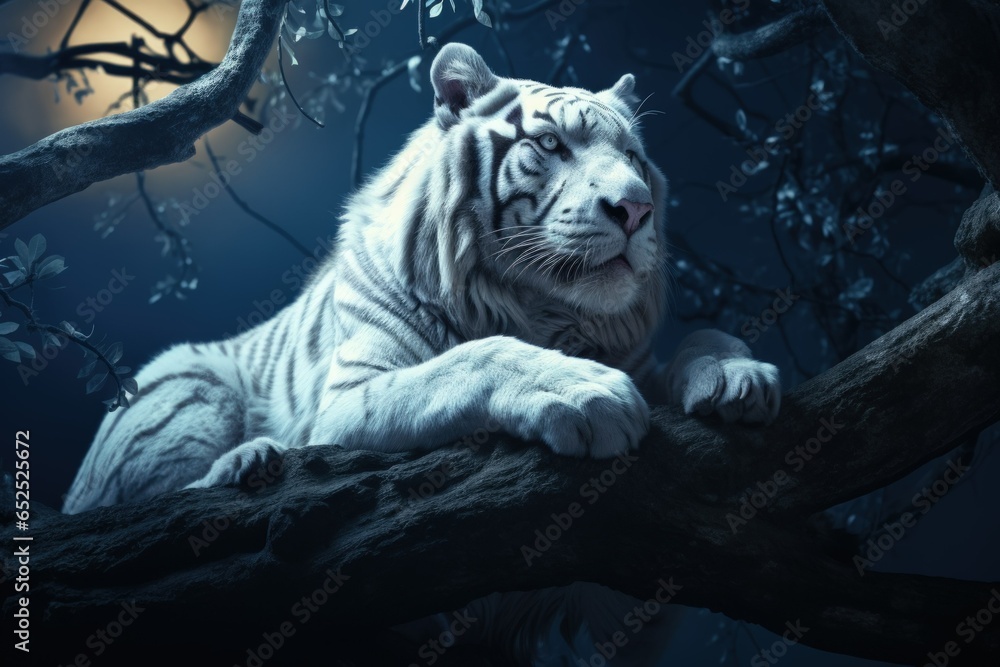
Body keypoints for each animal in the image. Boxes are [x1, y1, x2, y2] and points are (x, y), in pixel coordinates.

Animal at [62, 42, 781, 516]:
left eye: (632, 156)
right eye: (551, 145)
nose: (635, 209)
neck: (544, 307)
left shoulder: (636, 352)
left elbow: (699, 342)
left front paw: (737, 373)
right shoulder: (347, 397)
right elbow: (472, 358)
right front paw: (585, 393)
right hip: (187, 389)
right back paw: (246, 463)